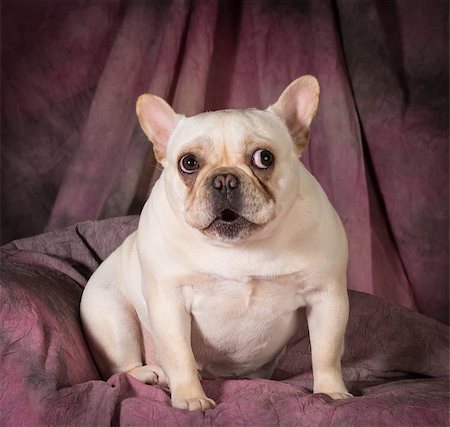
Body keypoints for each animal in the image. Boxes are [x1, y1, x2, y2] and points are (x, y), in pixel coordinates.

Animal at [80, 76, 352, 412]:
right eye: (188, 163)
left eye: (264, 158)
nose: (224, 179)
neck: (241, 248)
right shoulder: (169, 302)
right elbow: (180, 355)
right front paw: (190, 397)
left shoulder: (327, 296)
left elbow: (326, 353)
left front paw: (331, 391)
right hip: (115, 320)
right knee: (122, 368)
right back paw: (152, 374)